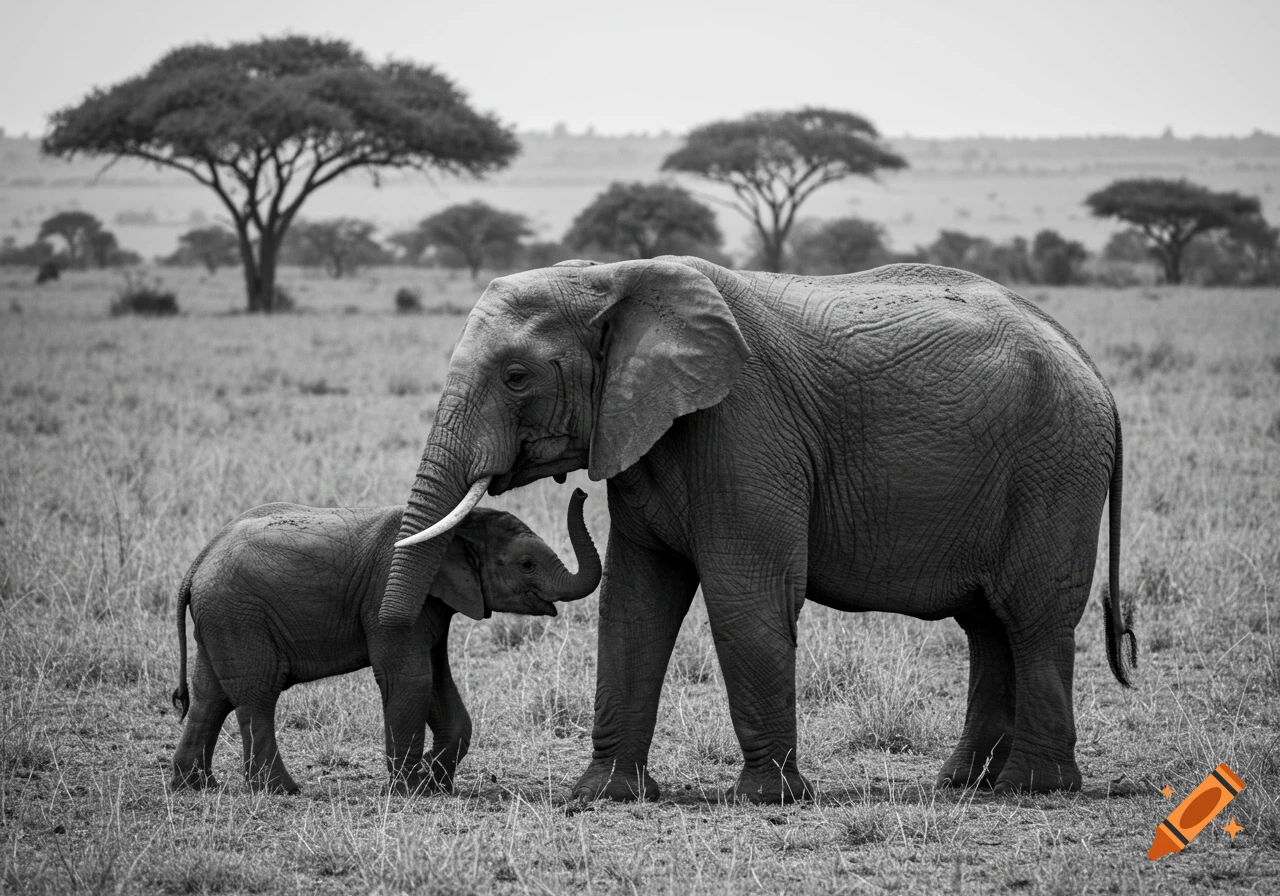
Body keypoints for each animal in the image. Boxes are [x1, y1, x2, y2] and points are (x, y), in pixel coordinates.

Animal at [170, 490, 600, 795]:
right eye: (526, 564)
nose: (581, 490)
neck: (455, 530)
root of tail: (197, 563)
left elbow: (436, 680)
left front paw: (433, 782)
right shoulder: (387, 597)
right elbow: (411, 679)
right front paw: (411, 790)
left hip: (222, 618)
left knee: (210, 696)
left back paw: (196, 786)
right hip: (239, 615)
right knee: (257, 694)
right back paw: (280, 790)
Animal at [378, 256, 1137, 803]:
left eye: (515, 377)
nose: (419, 780)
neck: (614, 277)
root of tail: (1093, 367)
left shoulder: (743, 429)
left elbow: (747, 596)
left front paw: (770, 797)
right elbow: (634, 603)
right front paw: (601, 796)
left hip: (1055, 468)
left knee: (1031, 616)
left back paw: (1032, 788)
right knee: (987, 626)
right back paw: (963, 784)